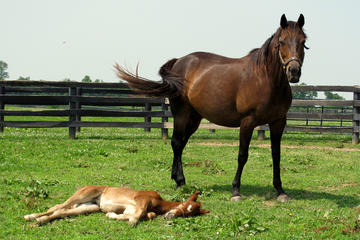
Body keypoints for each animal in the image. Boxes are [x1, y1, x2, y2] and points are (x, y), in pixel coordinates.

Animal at [116, 14, 308, 202]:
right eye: (281, 42)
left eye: (303, 41)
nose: (294, 72)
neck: (264, 78)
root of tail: (179, 62)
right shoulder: (247, 122)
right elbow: (242, 155)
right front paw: (236, 191)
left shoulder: (278, 122)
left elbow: (276, 155)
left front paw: (280, 190)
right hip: (181, 113)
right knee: (176, 142)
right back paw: (180, 182)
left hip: (195, 118)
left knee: (181, 143)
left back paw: (177, 179)